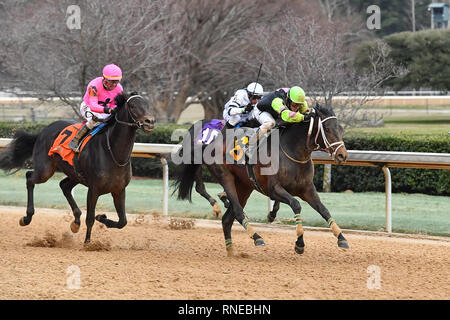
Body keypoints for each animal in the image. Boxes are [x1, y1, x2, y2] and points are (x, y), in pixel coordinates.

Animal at [0, 92, 154, 242]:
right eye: (133, 106)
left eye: (147, 104)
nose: (150, 121)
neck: (113, 153)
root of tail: (43, 130)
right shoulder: (94, 189)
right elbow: (90, 218)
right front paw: (88, 243)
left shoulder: (119, 190)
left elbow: (123, 221)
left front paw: (101, 217)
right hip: (45, 170)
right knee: (30, 178)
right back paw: (27, 217)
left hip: (74, 174)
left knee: (64, 186)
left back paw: (76, 222)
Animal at [175, 104, 348, 256]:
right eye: (327, 129)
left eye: (340, 129)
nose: (342, 155)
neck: (292, 152)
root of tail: (210, 143)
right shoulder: (274, 189)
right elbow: (296, 204)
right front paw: (299, 243)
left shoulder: (307, 189)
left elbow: (324, 210)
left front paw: (341, 238)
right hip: (226, 177)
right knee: (236, 211)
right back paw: (256, 237)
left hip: (244, 186)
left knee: (227, 219)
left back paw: (231, 251)